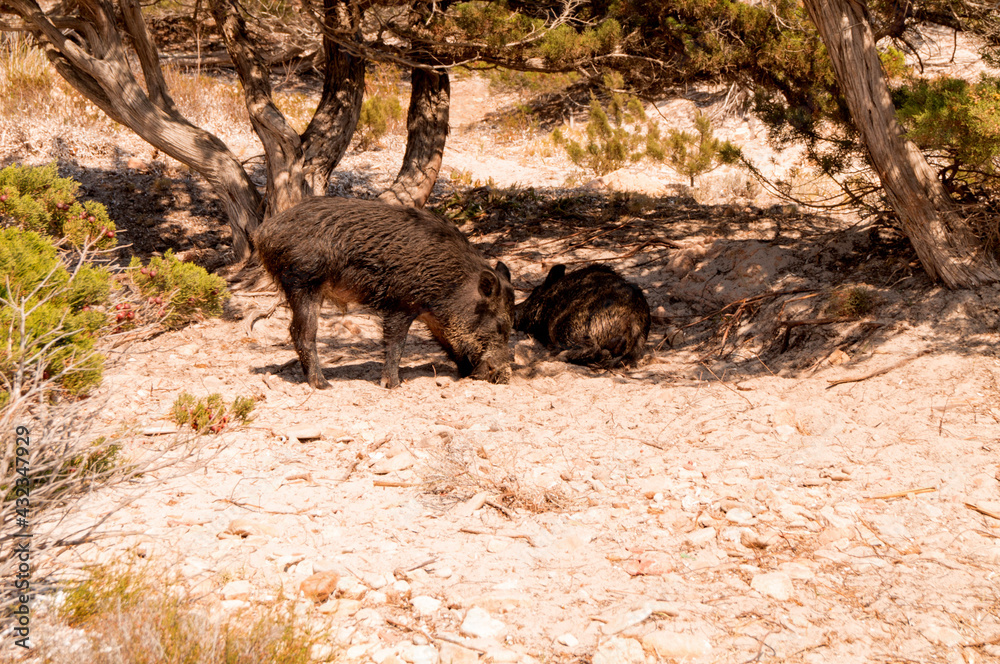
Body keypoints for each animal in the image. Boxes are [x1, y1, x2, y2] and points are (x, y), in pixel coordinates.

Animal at [253, 197, 514, 389]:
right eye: (500, 325)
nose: (504, 377)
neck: (451, 283)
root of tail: (262, 233)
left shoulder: (433, 317)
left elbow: (447, 343)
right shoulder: (400, 303)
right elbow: (396, 343)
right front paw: (393, 385)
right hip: (302, 282)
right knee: (301, 332)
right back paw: (323, 385)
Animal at [515, 264, 650, 367]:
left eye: (534, 291)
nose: (515, 309)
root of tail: (633, 320)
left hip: (568, 327)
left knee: (592, 348)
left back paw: (553, 356)